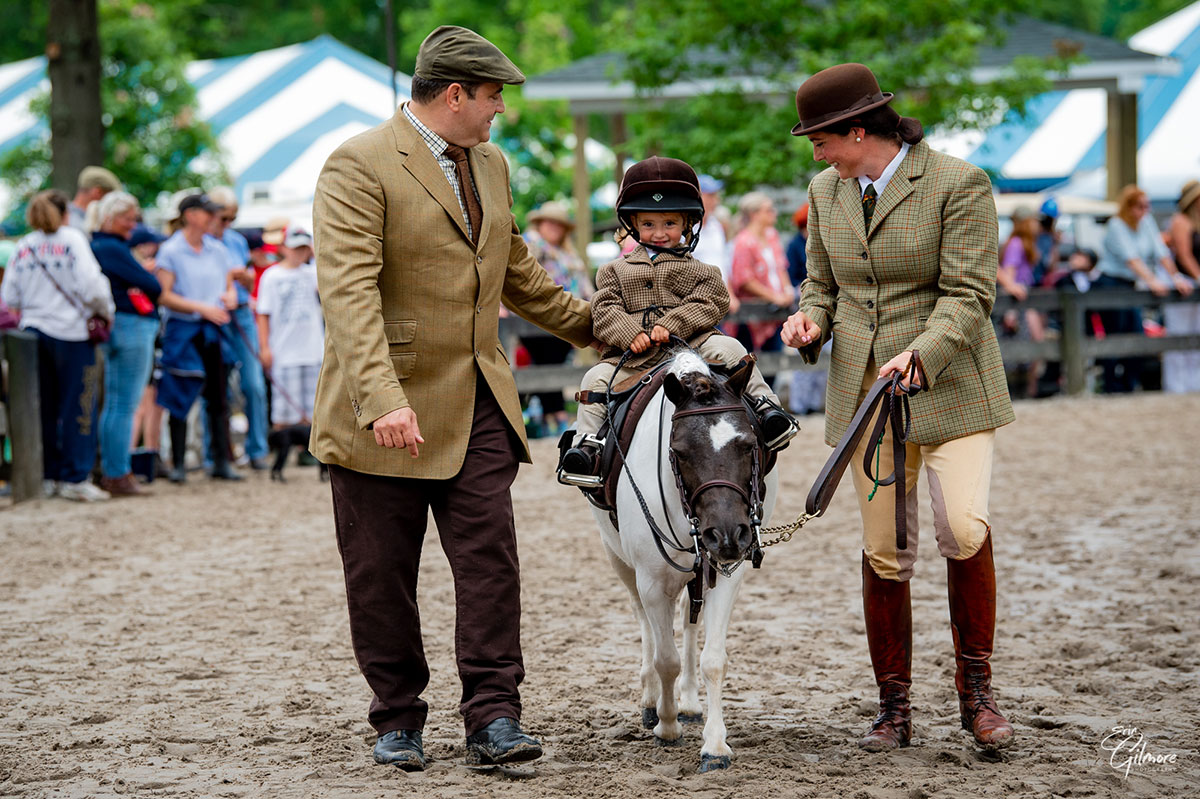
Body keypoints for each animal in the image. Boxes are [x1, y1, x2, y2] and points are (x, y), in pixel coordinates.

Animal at [590, 349, 779, 772]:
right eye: (679, 452)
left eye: (748, 445)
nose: (727, 536)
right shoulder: (650, 580)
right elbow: (666, 659)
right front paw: (666, 724)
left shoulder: (727, 572)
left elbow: (713, 659)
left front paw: (715, 745)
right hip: (619, 560)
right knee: (645, 622)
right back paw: (652, 703)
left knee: (690, 623)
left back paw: (690, 703)